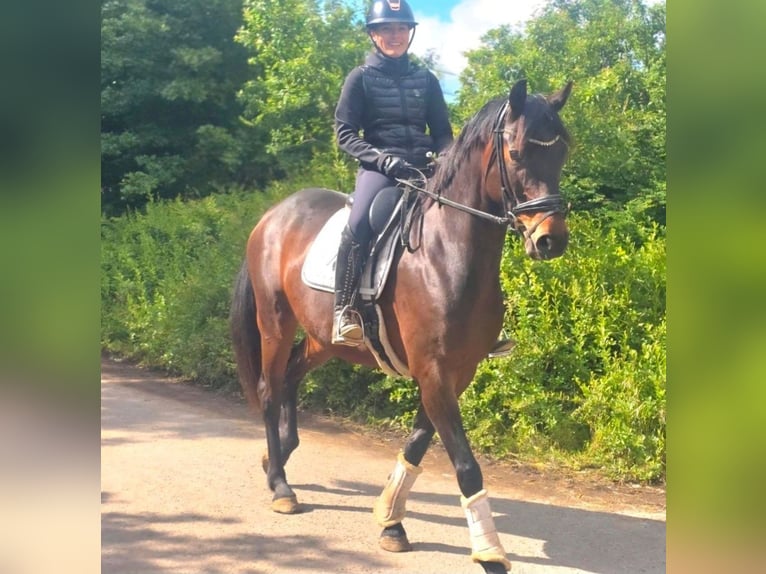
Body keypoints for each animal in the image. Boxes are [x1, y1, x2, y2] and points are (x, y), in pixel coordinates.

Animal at [230, 79, 572, 573]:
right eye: (517, 152)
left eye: (562, 150)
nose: (551, 239)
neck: (445, 253)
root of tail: (272, 215)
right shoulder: (433, 371)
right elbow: (465, 463)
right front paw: (490, 552)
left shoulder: (455, 372)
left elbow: (416, 443)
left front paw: (390, 520)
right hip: (275, 322)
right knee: (270, 389)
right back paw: (280, 485)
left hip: (323, 339)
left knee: (292, 375)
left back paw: (277, 453)